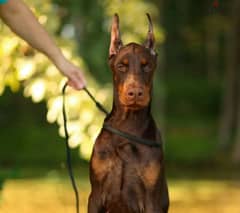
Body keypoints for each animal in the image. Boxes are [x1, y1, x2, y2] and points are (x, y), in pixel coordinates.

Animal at [87, 13, 169, 213]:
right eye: (121, 66)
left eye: (146, 66)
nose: (135, 93)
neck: (128, 124)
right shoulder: (95, 195)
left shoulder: (151, 200)